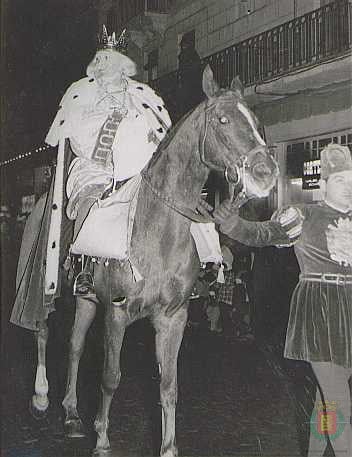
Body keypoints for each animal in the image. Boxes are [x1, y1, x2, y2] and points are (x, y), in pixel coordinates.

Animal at [24, 65, 278, 456]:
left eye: (256, 121)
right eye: (222, 120)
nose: (265, 174)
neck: (157, 230)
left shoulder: (172, 317)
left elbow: (169, 385)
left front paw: (168, 447)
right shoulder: (116, 314)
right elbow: (110, 378)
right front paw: (102, 440)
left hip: (86, 300)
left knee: (75, 346)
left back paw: (71, 415)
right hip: (47, 288)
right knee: (42, 331)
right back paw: (41, 397)